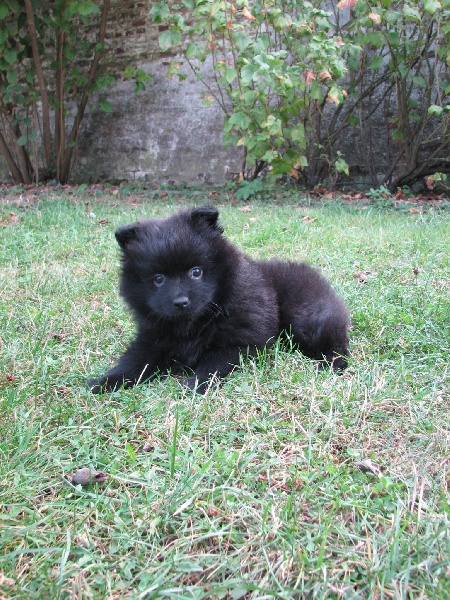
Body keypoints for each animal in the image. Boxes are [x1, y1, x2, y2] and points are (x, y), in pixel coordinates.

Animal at [87, 206, 348, 394]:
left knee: (337, 342)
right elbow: (134, 362)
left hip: (305, 320)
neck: (198, 322)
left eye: (196, 272)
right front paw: (106, 381)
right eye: (158, 279)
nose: (180, 301)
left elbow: (213, 364)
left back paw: (331, 363)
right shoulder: (152, 339)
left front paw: (195, 384)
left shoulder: (239, 343)